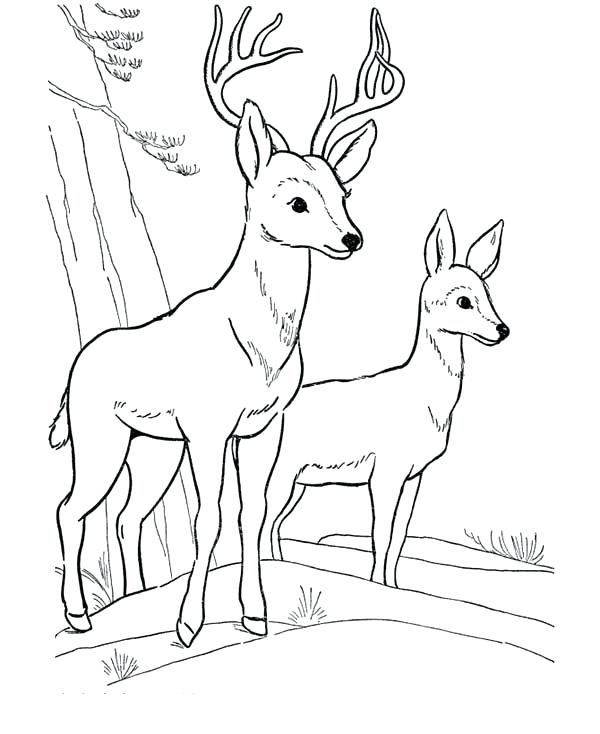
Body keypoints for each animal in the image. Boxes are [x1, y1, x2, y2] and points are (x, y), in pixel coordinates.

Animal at [50, 5, 405, 647]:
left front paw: (254, 615)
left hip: (152, 448)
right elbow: (208, 516)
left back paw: (127, 599)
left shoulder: (264, 425)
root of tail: (71, 375)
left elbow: (252, 513)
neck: (258, 347)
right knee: (71, 507)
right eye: (294, 201)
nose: (351, 238)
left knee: (122, 514)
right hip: (99, 434)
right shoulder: (209, 425)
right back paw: (80, 615)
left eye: (342, 191)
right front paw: (189, 625)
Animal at [261, 210, 510, 587]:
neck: (424, 400)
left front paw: (394, 587)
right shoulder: (386, 472)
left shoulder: (413, 476)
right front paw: (376, 585)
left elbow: (399, 537)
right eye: (463, 300)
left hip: (300, 481)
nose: (502, 330)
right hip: (276, 471)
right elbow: (380, 533)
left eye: (488, 293)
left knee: (273, 524)